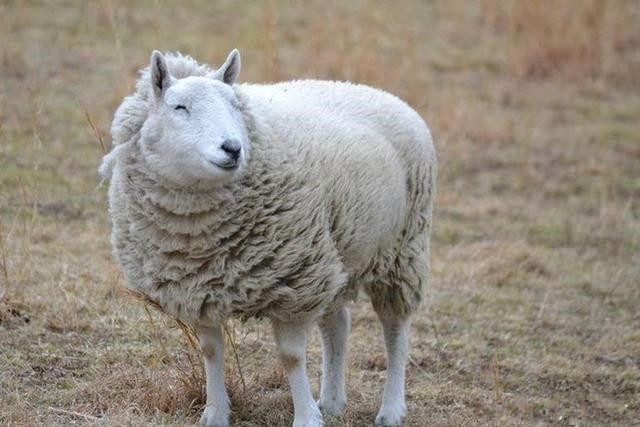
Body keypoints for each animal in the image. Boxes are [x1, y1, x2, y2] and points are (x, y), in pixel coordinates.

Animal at [100, 51, 438, 427]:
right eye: (179, 107)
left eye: (234, 104)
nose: (233, 148)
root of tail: (378, 92)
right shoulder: (199, 289)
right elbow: (210, 351)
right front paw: (215, 413)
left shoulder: (294, 283)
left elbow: (291, 357)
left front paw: (305, 418)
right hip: (335, 251)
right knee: (338, 324)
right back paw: (332, 402)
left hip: (402, 247)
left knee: (395, 329)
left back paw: (391, 409)